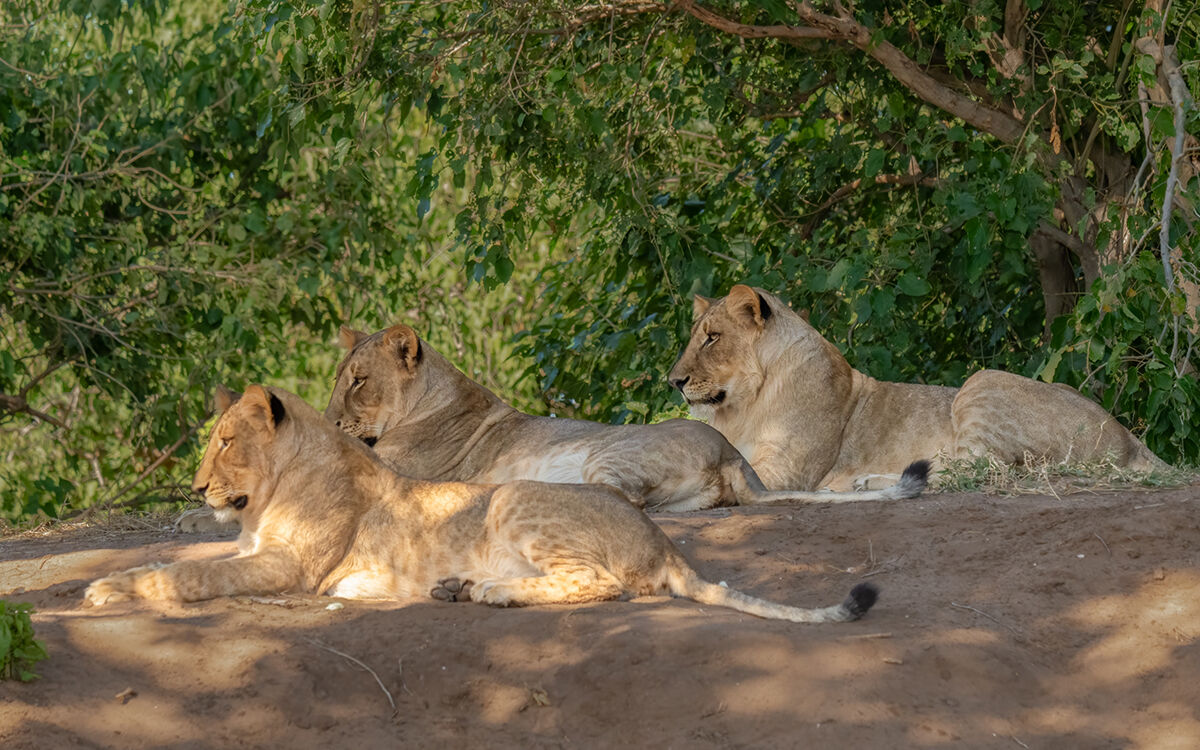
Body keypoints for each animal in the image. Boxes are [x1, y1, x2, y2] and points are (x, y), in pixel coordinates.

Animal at [85, 384, 879, 624]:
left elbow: (190, 573)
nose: (197, 488)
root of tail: (665, 543)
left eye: (225, 442)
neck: (264, 501)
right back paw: (460, 586)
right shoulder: (253, 548)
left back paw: (491, 593)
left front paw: (109, 590)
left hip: (515, 499)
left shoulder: (291, 567)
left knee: (604, 584)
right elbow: (185, 557)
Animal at [323, 324, 928, 513]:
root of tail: (731, 454)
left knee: (621, 498)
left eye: (358, 380)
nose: (330, 422)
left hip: (610, 454)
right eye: (340, 376)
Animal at [667, 284, 1168, 491]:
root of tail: (1129, 437)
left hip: (981, 381)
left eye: (712, 337)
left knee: (983, 471)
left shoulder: (786, 471)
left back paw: (863, 483)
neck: (744, 405)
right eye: (696, 335)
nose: (673, 381)